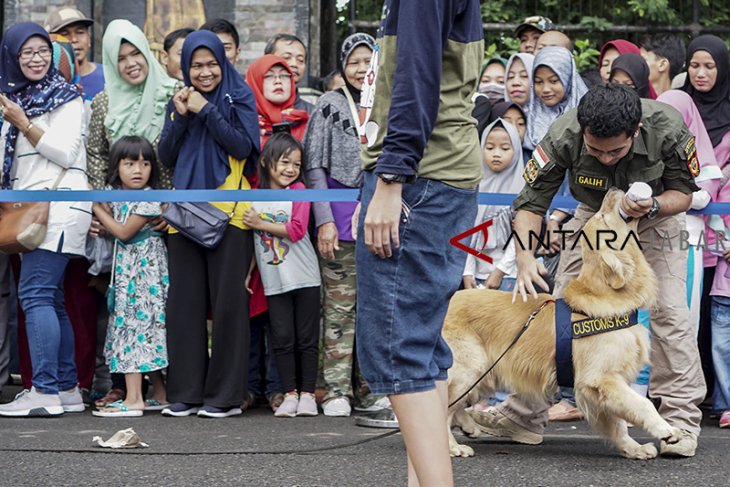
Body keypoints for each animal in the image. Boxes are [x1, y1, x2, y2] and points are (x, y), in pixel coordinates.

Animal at [444, 190, 684, 462]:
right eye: (603, 216)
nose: (612, 191)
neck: (607, 295)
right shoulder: (599, 378)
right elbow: (642, 404)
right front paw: (666, 430)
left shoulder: (603, 385)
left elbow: (619, 424)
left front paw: (633, 448)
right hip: (472, 366)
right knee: (445, 406)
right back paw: (453, 446)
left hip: (487, 369)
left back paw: (469, 426)